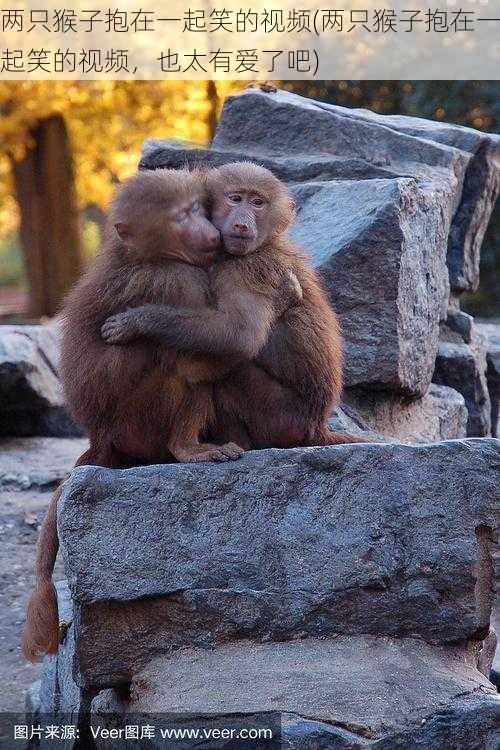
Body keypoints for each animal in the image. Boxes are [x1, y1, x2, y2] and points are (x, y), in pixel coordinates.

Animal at [99, 161, 364, 450]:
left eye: (258, 203)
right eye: (235, 199)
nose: (242, 224)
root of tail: (318, 425)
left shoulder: (243, 268)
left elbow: (240, 334)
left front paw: (137, 321)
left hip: (282, 417)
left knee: (230, 371)